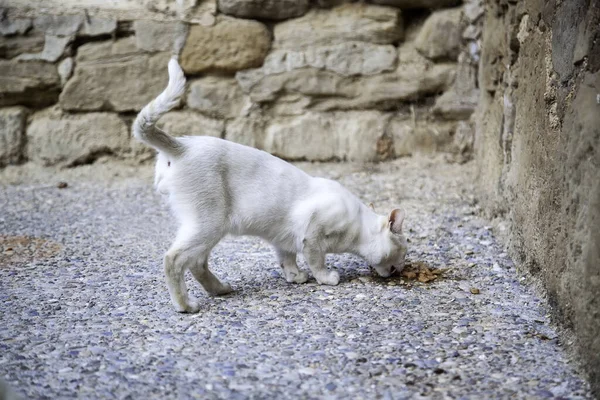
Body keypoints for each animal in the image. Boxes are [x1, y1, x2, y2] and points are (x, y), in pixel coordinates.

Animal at [134, 58, 410, 312]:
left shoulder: (284, 238)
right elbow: (317, 261)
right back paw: (187, 306)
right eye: (404, 252)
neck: (356, 231)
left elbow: (287, 260)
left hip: (207, 229)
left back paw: (221, 290)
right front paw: (327, 279)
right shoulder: (313, 234)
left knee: (196, 264)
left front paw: (295, 278)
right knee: (174, 259)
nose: (400, 269)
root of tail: (182, 145)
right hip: (209, 225)